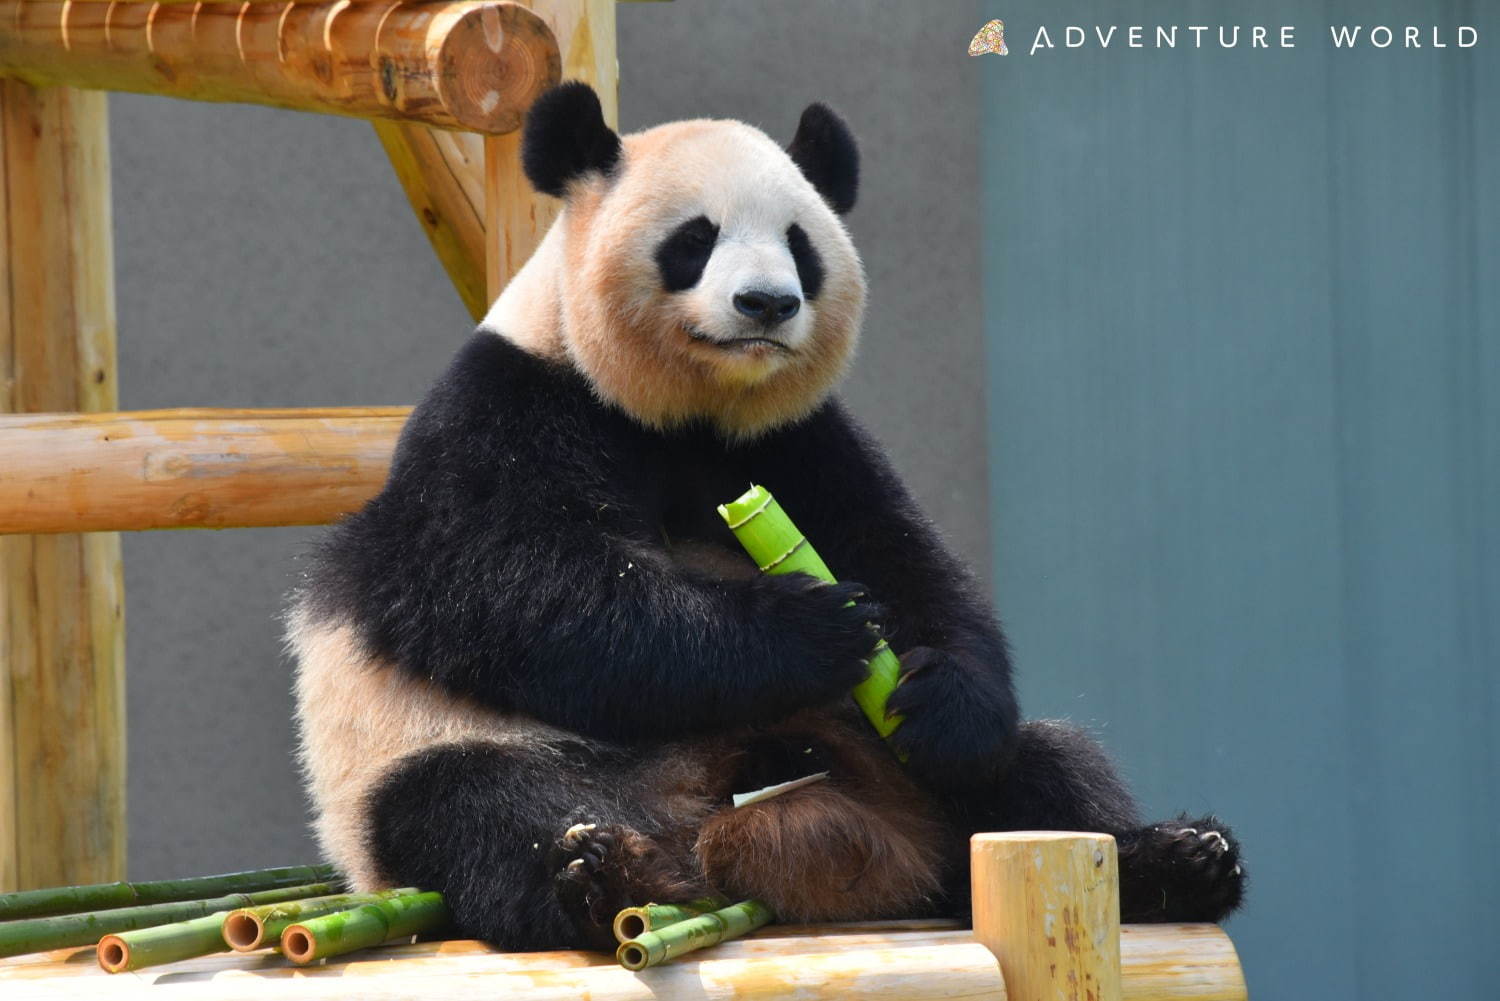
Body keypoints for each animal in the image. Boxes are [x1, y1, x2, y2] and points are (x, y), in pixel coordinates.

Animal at [289, 82, 1242, 954]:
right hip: (429, 758)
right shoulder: (506, 410)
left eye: (799, 244)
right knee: (479, 811)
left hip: (873, 750)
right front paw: (813, 625)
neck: (687, 412)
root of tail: (720, 843)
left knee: (1039, 769)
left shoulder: (799, 443)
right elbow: (517, 591)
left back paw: (1177, 860)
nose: (767, 303)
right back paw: (600, 879)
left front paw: (943, 695)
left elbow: (908, 557)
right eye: (694, 239)